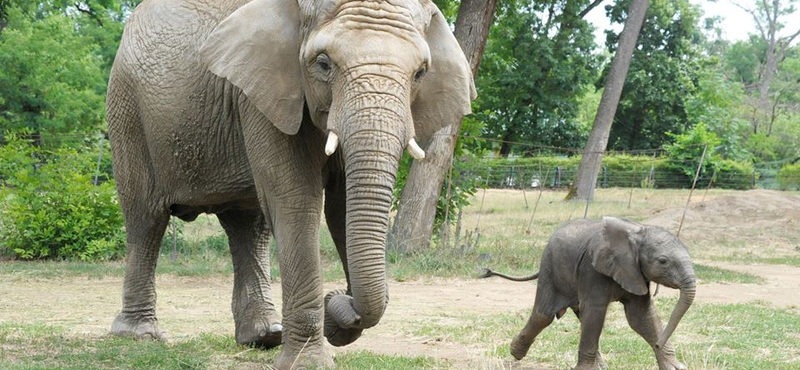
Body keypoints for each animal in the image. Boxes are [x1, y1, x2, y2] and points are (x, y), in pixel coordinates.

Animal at [103, 0, 472, 368]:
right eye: (323, 64)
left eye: (420, 73)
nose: (337, 300)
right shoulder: (262, 92)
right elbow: (296, 198)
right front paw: (310, 361)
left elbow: (341, 207)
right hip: (127, 108)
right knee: (146, 218)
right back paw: (141, 335)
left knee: (248, 226)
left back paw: (264, 336)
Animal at [482, 217, 692, 370]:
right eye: (663, 261)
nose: (658, 344)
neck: (638, 231)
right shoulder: (591, 269)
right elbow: (596, 311)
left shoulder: (636, 273)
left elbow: (640, 316)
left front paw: (675, 368)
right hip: (551, 266)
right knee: (544, 314)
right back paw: (515, 353)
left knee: (579, 315)